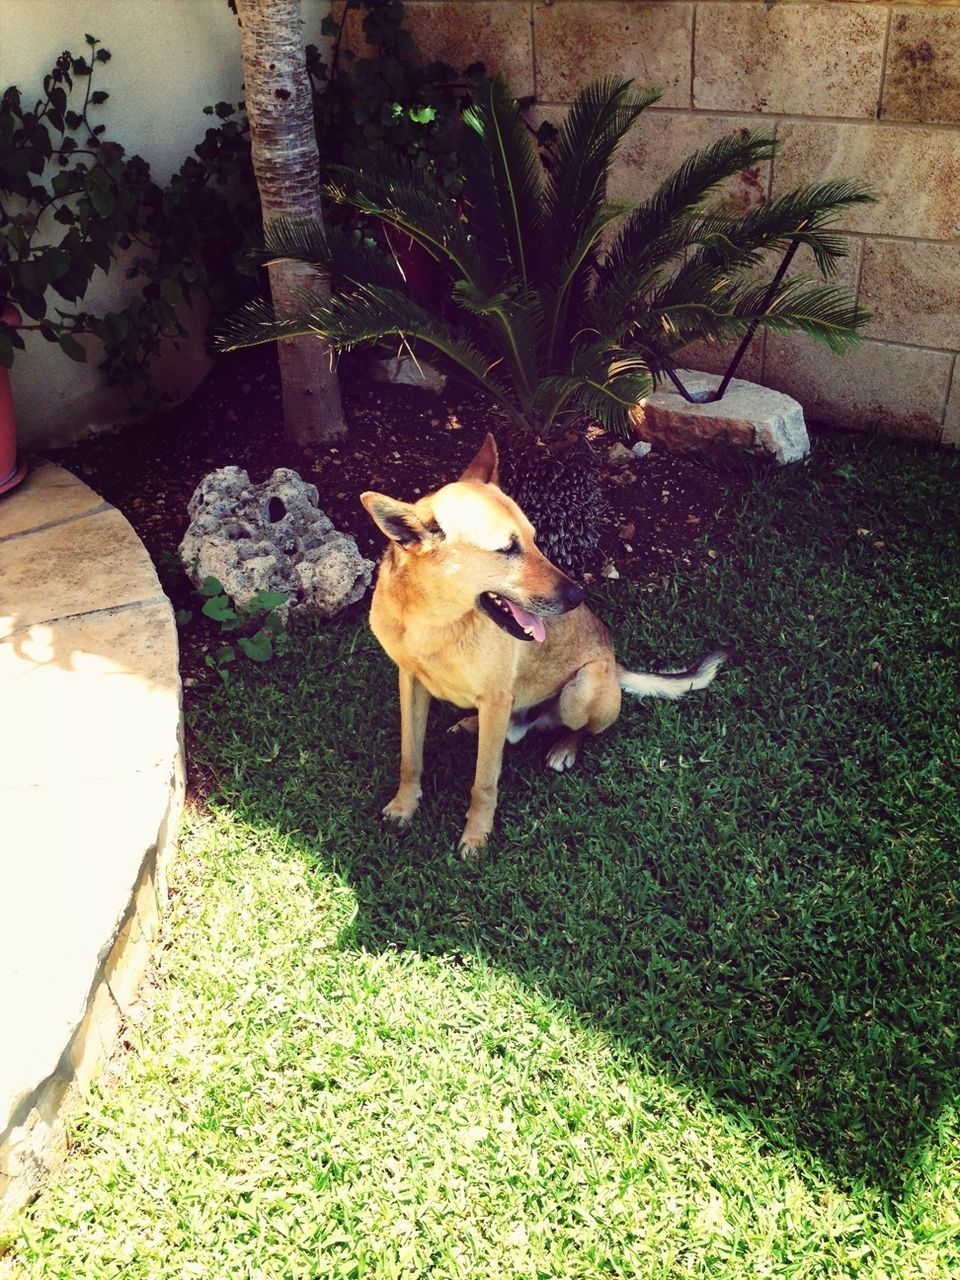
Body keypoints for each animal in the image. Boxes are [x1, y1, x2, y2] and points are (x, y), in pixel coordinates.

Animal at [363, 435, 727, 855]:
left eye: (535, 539)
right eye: (507, 549)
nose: (577, 595)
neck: (436, 621)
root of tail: (614, 664)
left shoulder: (496, 699)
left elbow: (483, 782)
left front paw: (476, 834)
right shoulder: (410, 682)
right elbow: (410, 757)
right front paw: (404, 805)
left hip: (579, 691)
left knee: (580, 729)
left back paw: (563, 749)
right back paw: (472, 724)